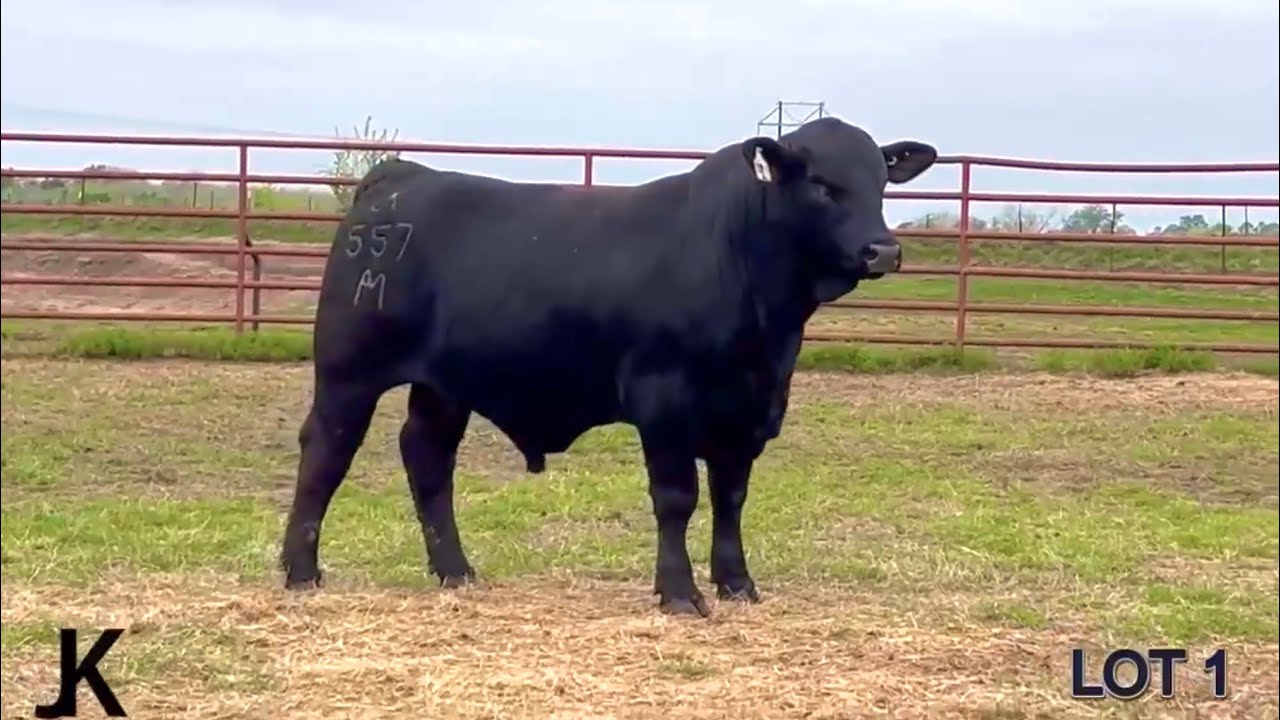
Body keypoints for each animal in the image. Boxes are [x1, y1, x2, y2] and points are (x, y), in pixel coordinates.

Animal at [279, 117, 937, 617]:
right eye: (823, 184)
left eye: (882, 182)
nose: (884, 250)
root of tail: (402, 177)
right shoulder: (664, 400)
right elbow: (677, 497)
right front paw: (679, 594)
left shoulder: (748, 410)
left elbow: (731, 497)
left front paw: (737, 584)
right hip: (348, 372)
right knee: (327, 453)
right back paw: (299, 570)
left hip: (445, 385)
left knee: (427, 459)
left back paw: (456, 571)